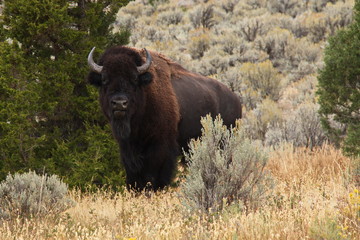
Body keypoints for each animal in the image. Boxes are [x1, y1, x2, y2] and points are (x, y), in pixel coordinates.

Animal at [86, 46, 242, 190]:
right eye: (104, 79)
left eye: (134, 78)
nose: (119, 103)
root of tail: (235, 99)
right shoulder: (127, 148)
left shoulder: (160, 147)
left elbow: (153, 175)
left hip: (225, 142)